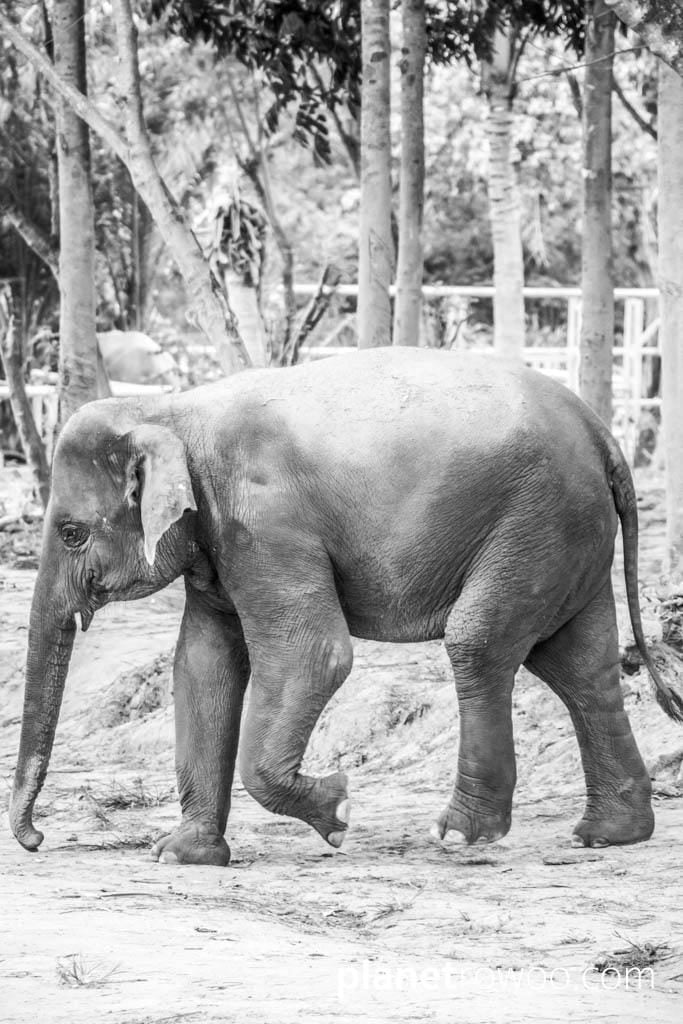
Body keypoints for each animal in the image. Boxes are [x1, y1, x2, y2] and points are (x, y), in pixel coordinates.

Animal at [9, 347, 683, 866]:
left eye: (71, 533)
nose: (37, 840)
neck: (171, 410)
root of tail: (601, 433)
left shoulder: (267, 526)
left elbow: (314, 657)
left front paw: (337, 811)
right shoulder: (221, 541)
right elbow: (202, 667)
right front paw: (180, 856)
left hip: (537, 523)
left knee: (479, 642)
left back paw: (461, 836)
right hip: (568, 537)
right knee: (580, 666)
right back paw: (610, 836)